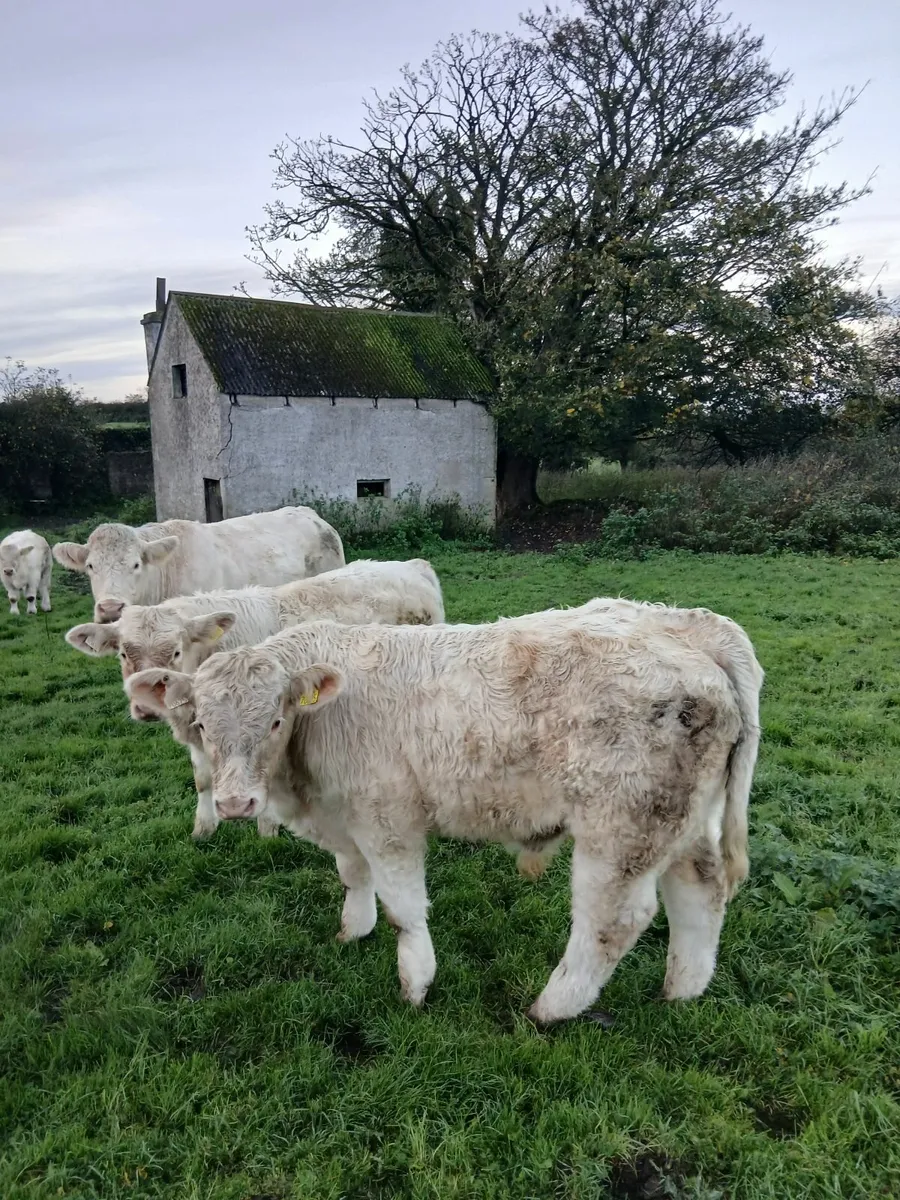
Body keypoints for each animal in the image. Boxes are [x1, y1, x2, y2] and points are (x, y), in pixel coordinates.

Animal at [66, 558, 444, 840]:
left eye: (175, 651)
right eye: (122, 653)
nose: (144, 708)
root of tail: (411, 565)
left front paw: (267, 830)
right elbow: (203, 779)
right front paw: (203, 829)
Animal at [125, 602, 763, 1023]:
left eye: (276, 720)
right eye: (201, 725)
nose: (236, 804)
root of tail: (687, 626)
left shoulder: (388, 820)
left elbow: (404, 907)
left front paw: (414, 983)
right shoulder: (342, 819)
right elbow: (353, 877)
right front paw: (352, 931)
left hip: (623, 825)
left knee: (613, 920)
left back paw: (551, 1007)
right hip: (684, 818)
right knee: (700, 889)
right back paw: (682, 990)